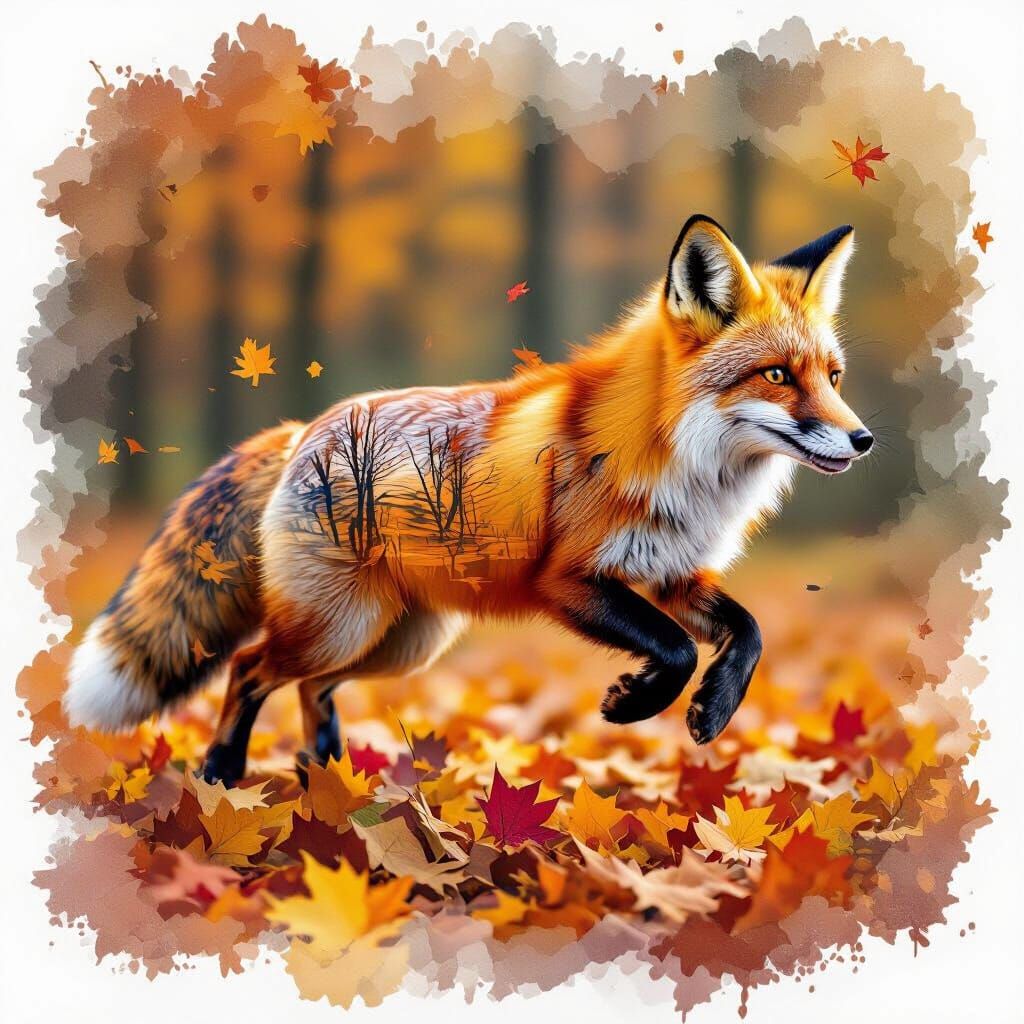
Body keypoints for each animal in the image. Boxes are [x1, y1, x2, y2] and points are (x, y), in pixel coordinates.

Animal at [65, 215, 874, 786]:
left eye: (833, 376)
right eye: (777, 375)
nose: (863, 439)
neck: (680, 465)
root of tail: (303, 431)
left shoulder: (674, 572)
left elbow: (750, 631)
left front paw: (714, 705)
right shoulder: (568, 579)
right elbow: (673, 648)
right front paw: (638, 700)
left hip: (398, 644)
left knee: (312, 689)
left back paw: (324, 772)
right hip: (340, 627)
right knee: (248, 666)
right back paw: (224, 771)